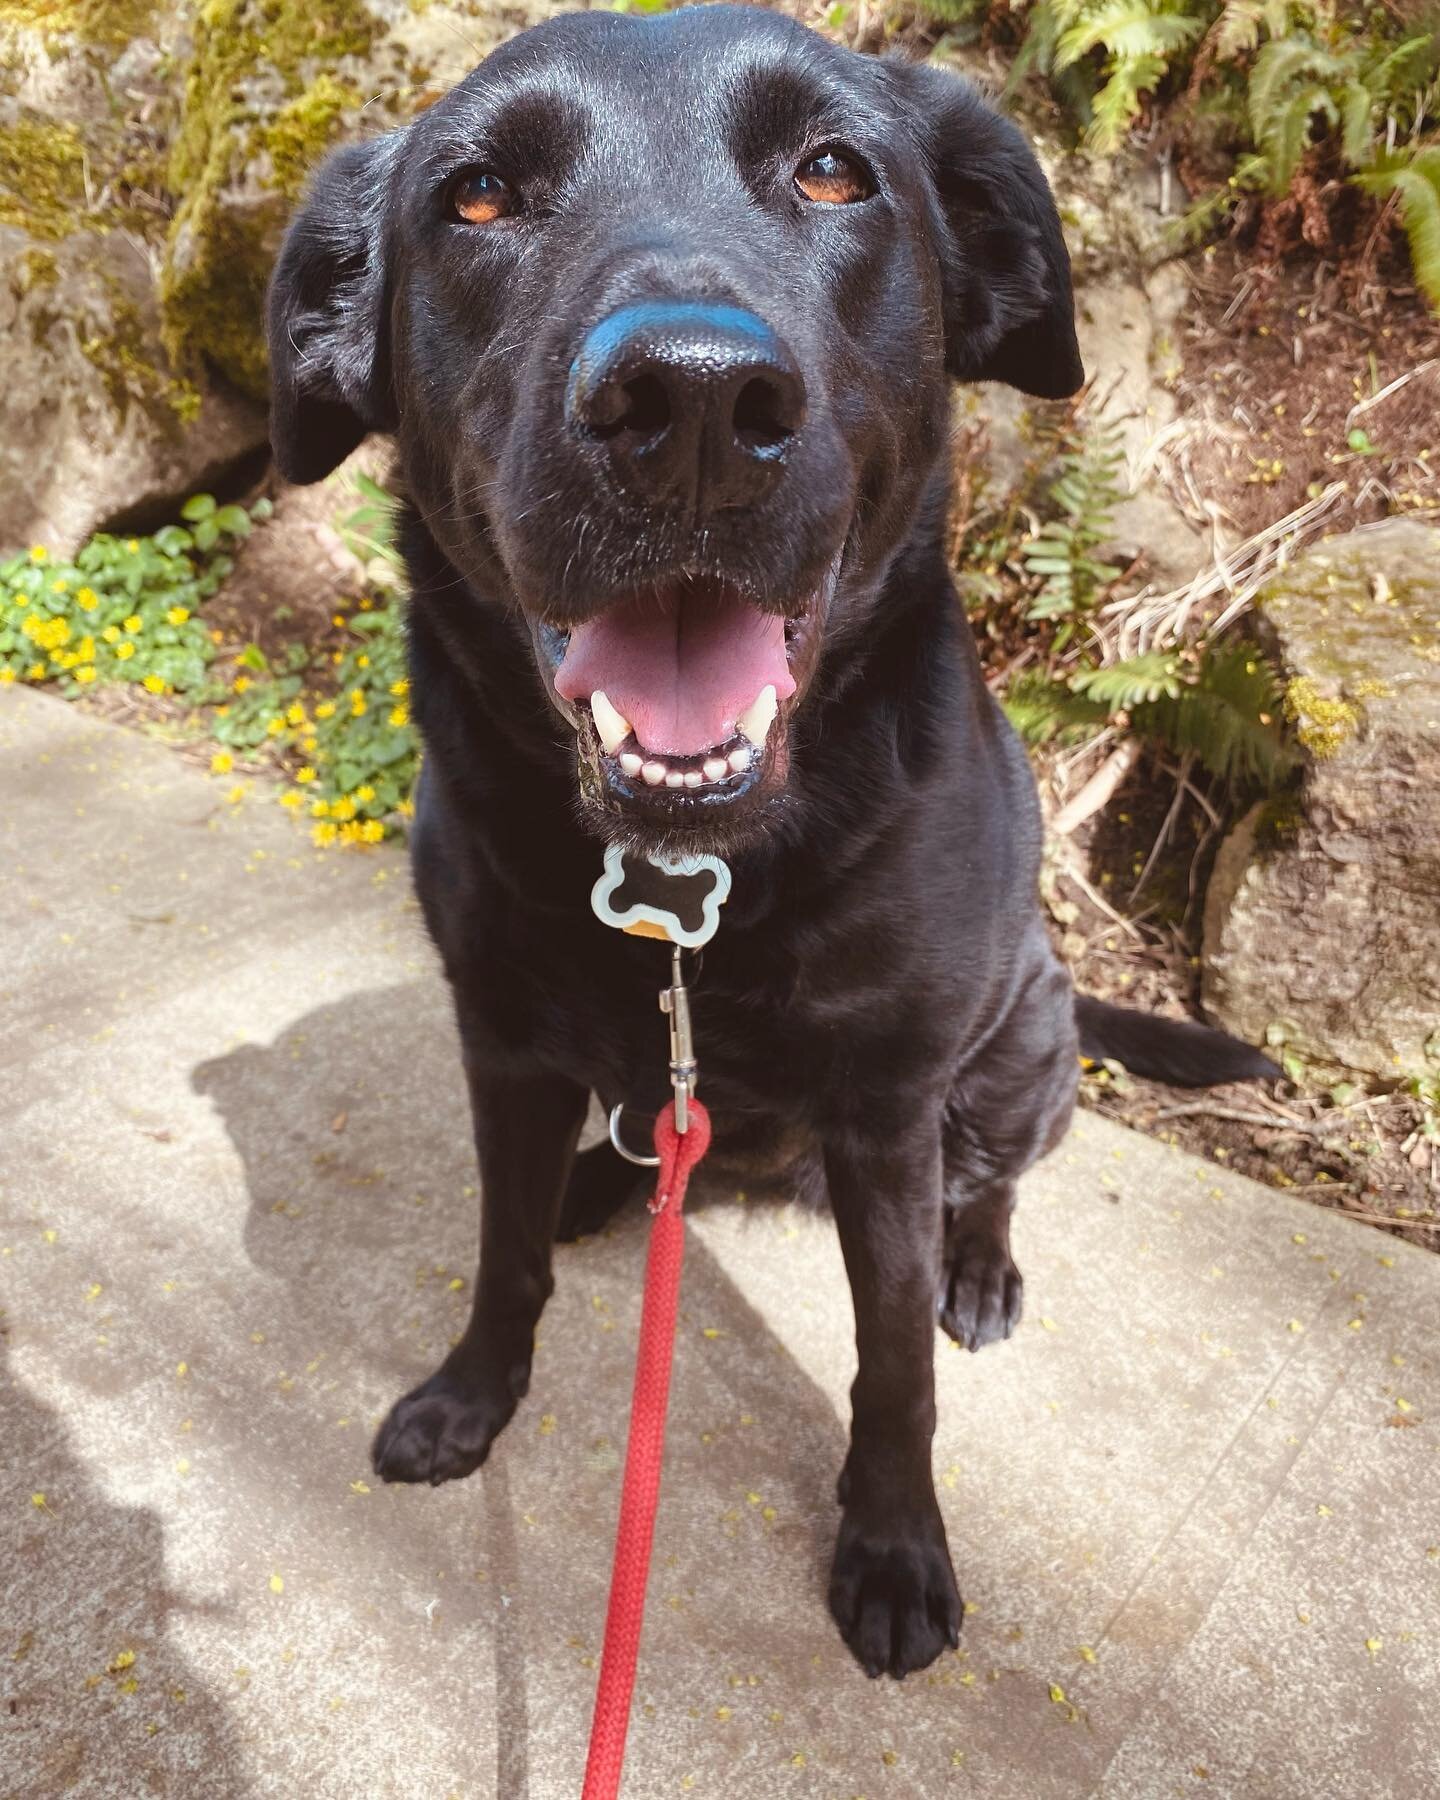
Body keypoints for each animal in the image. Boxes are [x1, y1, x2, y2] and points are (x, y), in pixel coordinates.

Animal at [270, 7, 1274, 1677]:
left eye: (832, 172)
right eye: (474, 197)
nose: (687, 405)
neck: (687, 889)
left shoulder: (885, 1107)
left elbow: (892, 1360)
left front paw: (896, 1546)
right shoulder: (502, 1045)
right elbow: (502, 1251)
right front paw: (474, 1395)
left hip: (1022, 1053)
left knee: (993, 1180)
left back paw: (981, 1263)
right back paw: (603, 1184)